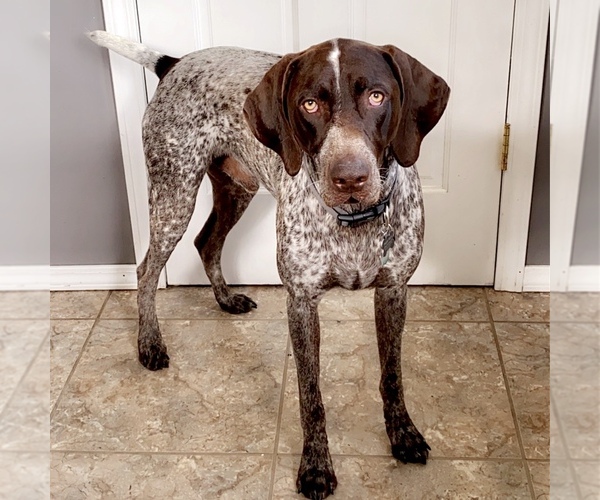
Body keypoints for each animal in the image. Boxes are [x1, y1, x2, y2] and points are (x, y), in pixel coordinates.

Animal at [90, 30, 450, 496]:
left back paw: (225, 300)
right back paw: (149, 343)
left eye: (376, 96)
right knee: (146, 269)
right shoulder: (301, 302)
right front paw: (315, 466)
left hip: (235, 187)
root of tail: (176, 61)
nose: (349, 178)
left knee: (206, 243)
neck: (353, 221)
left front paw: (402, 434)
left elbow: (392, 375)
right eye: (309, 104)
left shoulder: (393, 291)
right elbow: (311, 396)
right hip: (174, 192)